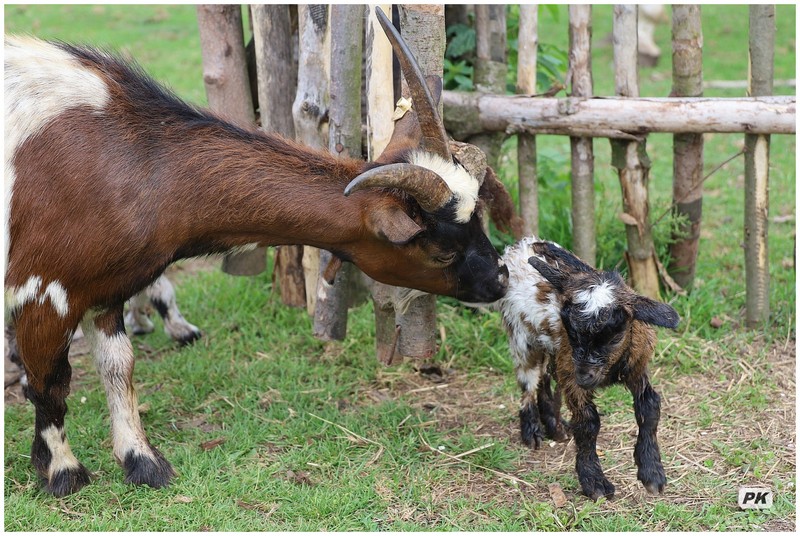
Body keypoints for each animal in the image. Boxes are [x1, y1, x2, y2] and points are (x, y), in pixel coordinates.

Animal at [1, 8, 506, 496]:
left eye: (480, 219)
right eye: (442, 252)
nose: (499, 280)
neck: (135, 160)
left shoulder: (106, 287)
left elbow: (118, 367)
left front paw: (141, 461)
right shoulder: (44, 288)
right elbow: (51, 382)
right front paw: (61, 471)